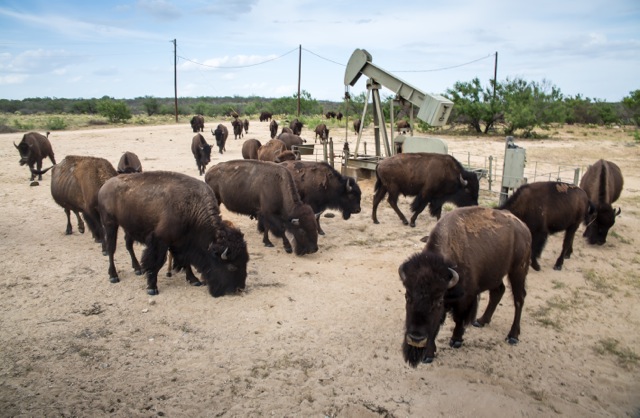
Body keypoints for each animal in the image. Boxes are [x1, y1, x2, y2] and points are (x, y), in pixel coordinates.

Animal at [98, 171, 250, 298]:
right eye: (232, 266)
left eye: (246, 261)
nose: (239, 289)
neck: (191, 209)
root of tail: (104, 186)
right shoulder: (160, 241)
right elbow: (156, 262)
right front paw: (152, 288)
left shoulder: (182, 243)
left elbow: (186, 261)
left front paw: (194, 280)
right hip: (110, 223)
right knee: (111, 249)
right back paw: (113, 276)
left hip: (128, 227)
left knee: (128, 245)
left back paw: (137, 269)